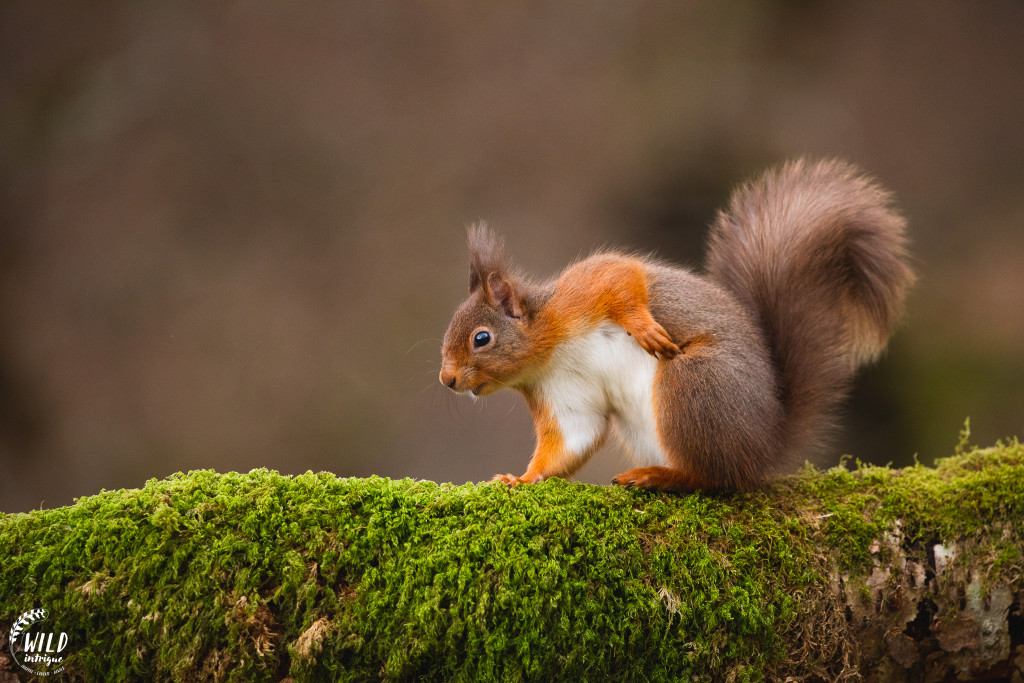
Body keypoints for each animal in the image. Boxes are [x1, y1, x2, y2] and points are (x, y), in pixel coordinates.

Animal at [439, 158, 914, 492]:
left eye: (481, 339)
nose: (447, 380)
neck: (550, 349)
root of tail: (765, 444)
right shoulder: (562, 395)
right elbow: (572, 439)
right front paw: (519, 479)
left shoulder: (582, 292)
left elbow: (622, 279)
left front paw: (645, 328)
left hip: (693, 385)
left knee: (713, 478)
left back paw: (659, 477)